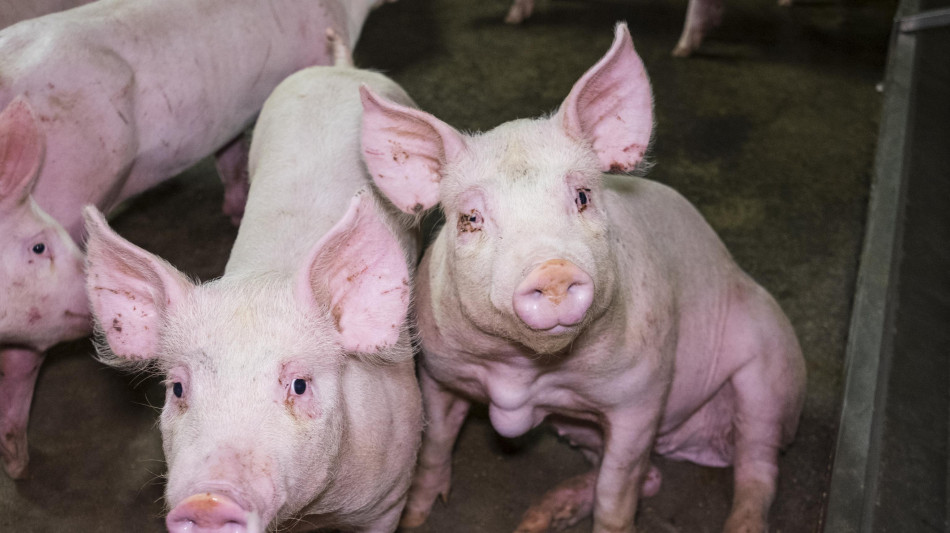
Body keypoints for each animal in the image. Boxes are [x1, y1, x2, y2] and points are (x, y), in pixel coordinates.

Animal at [83, 55, 423, 532]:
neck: (311, 515)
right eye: (178, 388)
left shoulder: (391, 495)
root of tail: (341, 68)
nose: (208, 502)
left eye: (299, 384)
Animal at [360, 22, 806, 533]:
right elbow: (434, 445)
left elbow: (618, 488)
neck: (521, 373)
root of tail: (689, 442)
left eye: (583, 197)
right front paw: (415, 517)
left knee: (758, 461)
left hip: (772, 363)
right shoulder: (439, 372)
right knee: (653, 476)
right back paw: (539, 516)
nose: (553, 269)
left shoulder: (642, 395)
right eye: (470, 218)